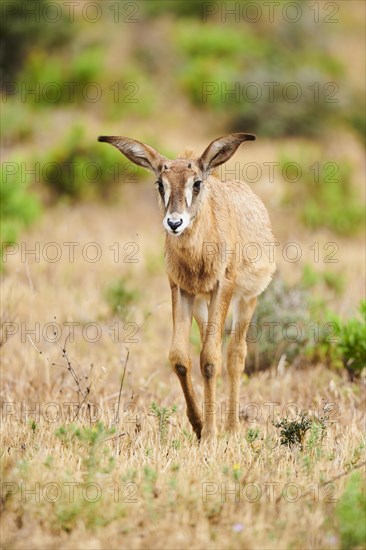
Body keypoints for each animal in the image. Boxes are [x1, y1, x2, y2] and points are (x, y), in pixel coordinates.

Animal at [97, 135, 274, 444]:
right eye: (160, 183)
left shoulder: (222, 288)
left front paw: (212, 433)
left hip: (246, 299)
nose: (174, 222)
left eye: (196, 183)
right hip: (202, 303)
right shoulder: (182, 290)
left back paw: (231, 428)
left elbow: (211, 359)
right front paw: (199, 425)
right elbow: (181, 357)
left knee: (234, 354)